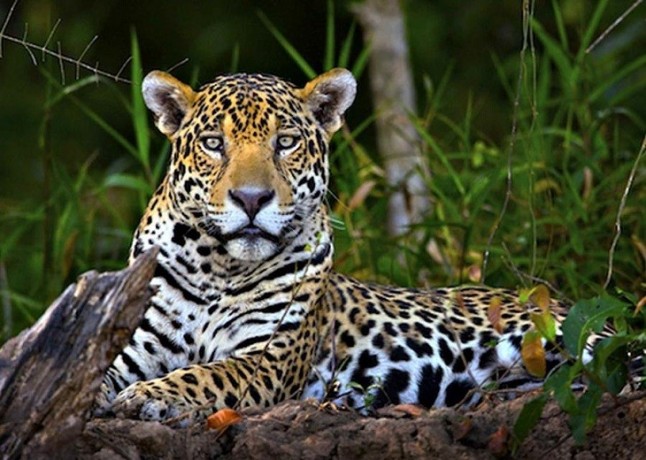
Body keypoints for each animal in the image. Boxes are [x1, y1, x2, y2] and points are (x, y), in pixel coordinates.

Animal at [95, 68, 577, 425]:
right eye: (214, 144)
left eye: (285, 142)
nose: (251, 199)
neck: (217, 266)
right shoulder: (132, 343)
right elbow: (95, 372)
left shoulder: (267, 358)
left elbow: (204, 376)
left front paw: (147, 395)